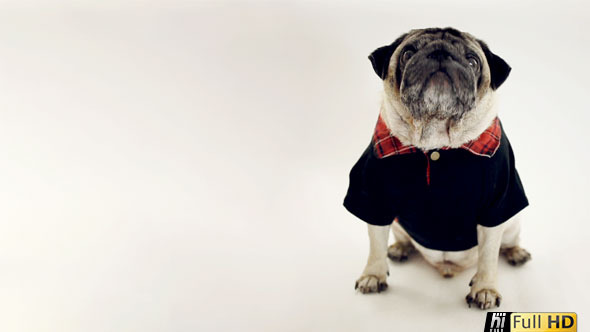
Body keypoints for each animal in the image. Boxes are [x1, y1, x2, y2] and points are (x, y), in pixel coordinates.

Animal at [344, 27, 536, 310]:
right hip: (399, 224)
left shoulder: (497, 206)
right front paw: (373, 275)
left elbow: (489, 256)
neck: (436, 139)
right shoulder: (373, 199)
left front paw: (485, 288)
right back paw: (400, 249)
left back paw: (516, 252)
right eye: (408, 53)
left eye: (472, 61)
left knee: (506, 243)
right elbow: (376, 244)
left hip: (511, 222)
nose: (440, 53)